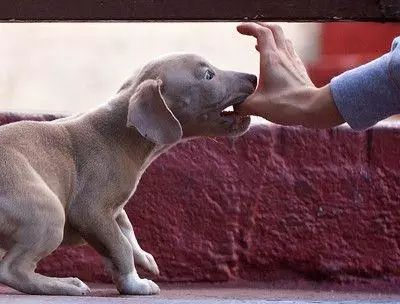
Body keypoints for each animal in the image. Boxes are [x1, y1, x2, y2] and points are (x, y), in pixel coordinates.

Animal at [0, 53, 256, 296]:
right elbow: (120, 246)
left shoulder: (113, 210)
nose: (253, 77)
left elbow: (126, 232)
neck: (122, 133)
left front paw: (144, 259)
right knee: (12, 270)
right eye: (208, 75)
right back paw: (66, 285)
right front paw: (135, 283)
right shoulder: (90, 211)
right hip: (48, 212)